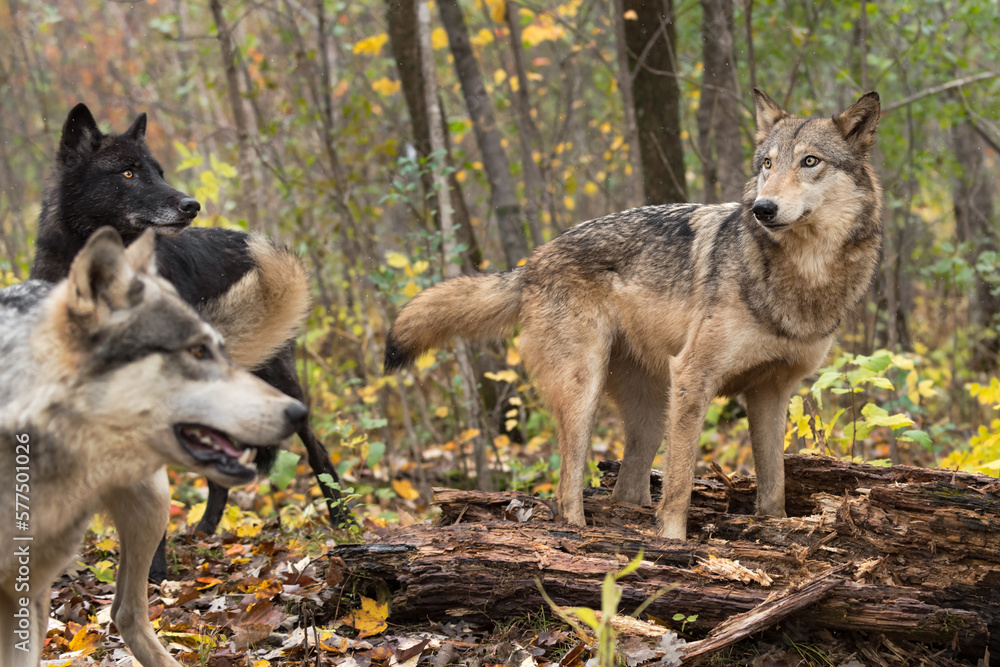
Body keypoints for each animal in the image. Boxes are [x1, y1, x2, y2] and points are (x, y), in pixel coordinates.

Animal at [31, 104, 345, 579]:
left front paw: (153, 572)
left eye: (158, 172)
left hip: (279, 384)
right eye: (128, 173)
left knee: (319, 452)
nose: (191, 205)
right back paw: (205, 532)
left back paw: (344, 524)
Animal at [385, 90, 883, 539]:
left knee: (626, 489)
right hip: (586, 390)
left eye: (810, 162)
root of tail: (532, 262)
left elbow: (774, 484)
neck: (803, 275)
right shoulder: (693, 377)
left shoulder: (772, 393)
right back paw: (583, 539)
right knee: (567, 490)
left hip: (649, 410)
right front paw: (674, 544)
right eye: (767, 164)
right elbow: (680, 483)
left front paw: (775, 528)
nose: (763, 209)